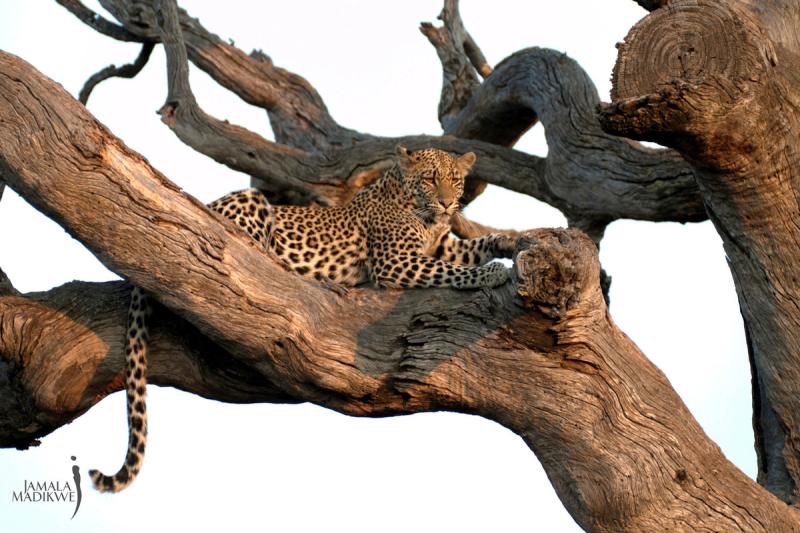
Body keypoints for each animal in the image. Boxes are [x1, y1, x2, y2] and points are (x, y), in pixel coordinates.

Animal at [89, 146, 516, 492]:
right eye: (430, 178)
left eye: (455, 180)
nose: (446, 204)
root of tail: (206, 206)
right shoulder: (398, 263)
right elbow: (456, 271)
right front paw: (493, 272)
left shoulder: (443, 248)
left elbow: (476, 246)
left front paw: (514, 240)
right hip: (254, 201)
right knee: (249, 250)